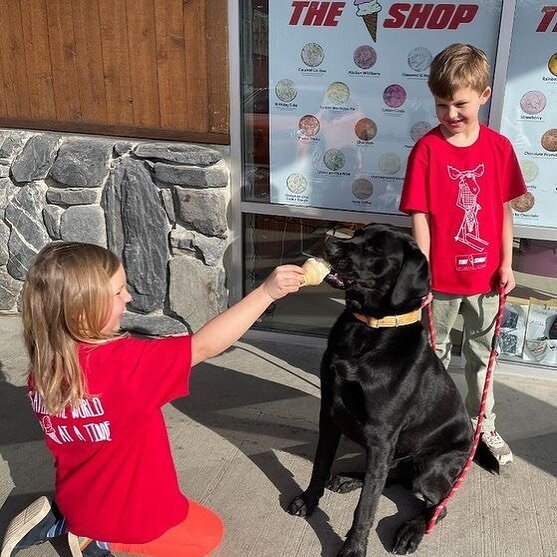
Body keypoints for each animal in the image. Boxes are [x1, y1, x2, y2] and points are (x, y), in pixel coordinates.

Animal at [286, 225, 496, 556]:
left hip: (428, 467)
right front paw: (309, 501)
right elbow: (320, 465)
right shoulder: (330, 414)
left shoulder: (381, 435)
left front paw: (354, 548)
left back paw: (412, 530)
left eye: (374, 250)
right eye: (357, 234)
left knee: (437, 506)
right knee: (389, 478)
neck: (368, 329)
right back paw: (350, 478)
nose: (329, 243)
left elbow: (366, 507)